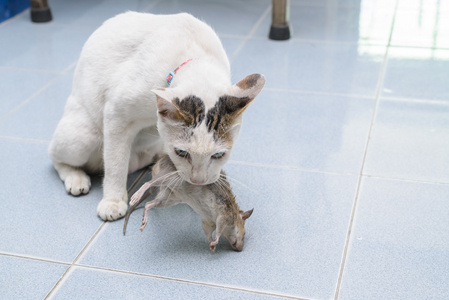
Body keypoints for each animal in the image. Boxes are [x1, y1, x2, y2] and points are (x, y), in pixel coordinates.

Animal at [48, 11, 266, 220]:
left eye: (219, 155)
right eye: (182, 152)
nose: (198, 181)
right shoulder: (117, 116)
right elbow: (115, 164)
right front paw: (113, 201)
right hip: (82, 137)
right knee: (55, 155)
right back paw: (76, 178)